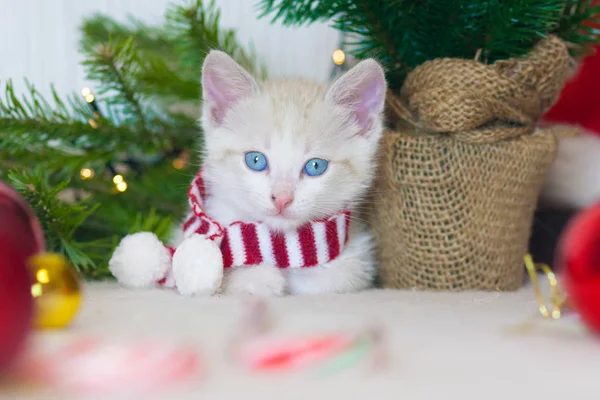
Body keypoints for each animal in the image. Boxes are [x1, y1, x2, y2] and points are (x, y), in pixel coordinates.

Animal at [184, 50, 390, 296]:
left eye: (315, 166)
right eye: (255, 160)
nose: (282, 198)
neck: (280, 250)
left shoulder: (357, 263)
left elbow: (336, 277)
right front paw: (258, 277)